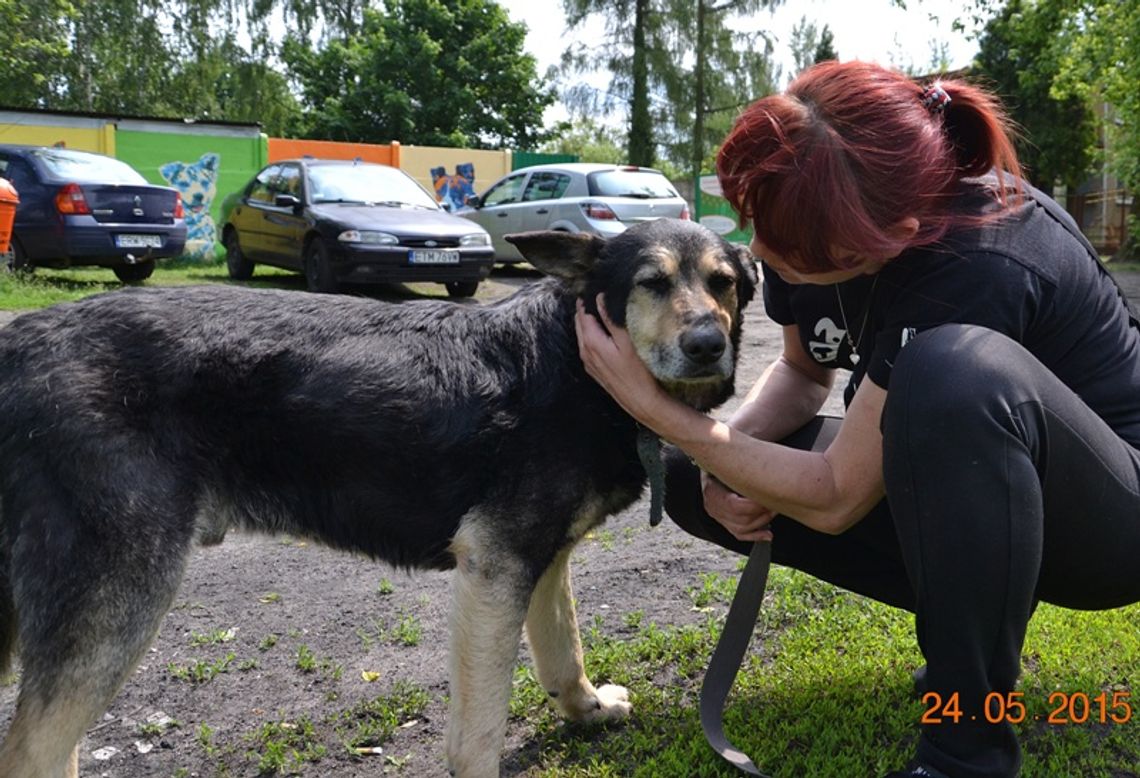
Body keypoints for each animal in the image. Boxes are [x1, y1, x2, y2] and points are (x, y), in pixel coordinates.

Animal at [0, 215, 756, 771]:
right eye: (651, 283)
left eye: (723, 284)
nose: (707, 345)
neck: (573, 360)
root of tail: (15, 347)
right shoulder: (495, 568)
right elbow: (480, 730)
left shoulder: (541, 560)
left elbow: (562, 647)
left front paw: (587, 710)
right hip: (116, 602)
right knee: (35, 754)